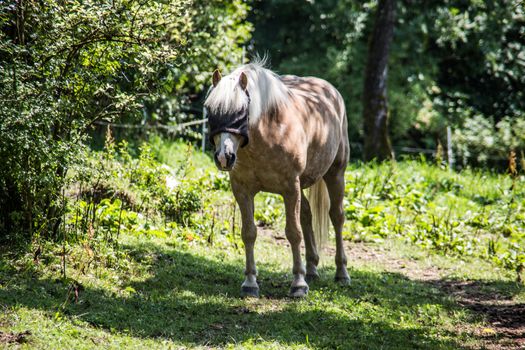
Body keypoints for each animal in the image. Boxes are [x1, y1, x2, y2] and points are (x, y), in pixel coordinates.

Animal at [204, 60, 348, 298]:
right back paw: (312, 269)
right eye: (210, 110)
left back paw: (342, 273)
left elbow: (293, 233)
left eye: (241, 111)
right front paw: (250, 283)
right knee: (307, 215)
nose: (224, 157)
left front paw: (298, 284)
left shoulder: (290, 188)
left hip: (336, 173)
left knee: (337, 217)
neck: (269, 133)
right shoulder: (242, 190)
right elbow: (249, 233)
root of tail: (331, 91)